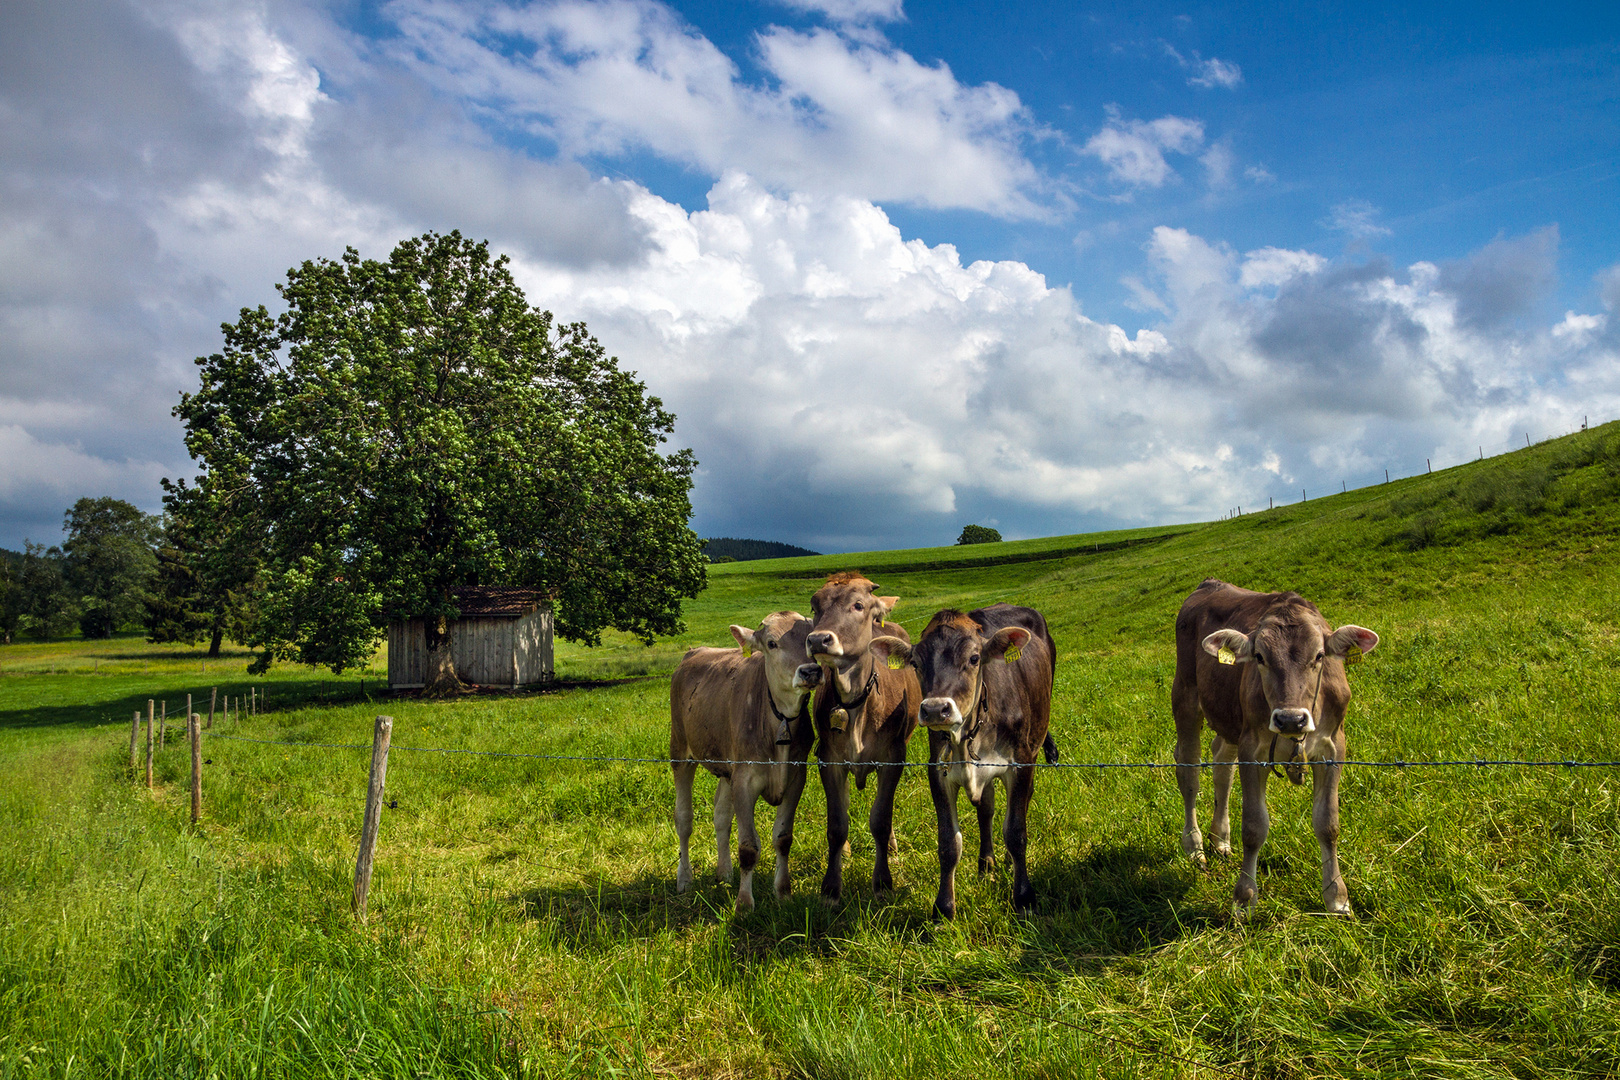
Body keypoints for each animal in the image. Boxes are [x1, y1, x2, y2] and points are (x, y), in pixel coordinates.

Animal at [670, 612, 822, 906]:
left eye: (810, 641)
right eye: (772, 643)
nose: (810, 671)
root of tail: (693, 652)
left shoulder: (796, 776)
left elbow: (783, 838)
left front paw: (783, 893)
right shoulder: (745, 779)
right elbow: (749, 846)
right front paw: (744, 903)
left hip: (728, 768)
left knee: (720, 815)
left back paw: (724, 872)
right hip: (680, 751)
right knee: (684, 819)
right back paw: (684, 879)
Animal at [803, 573, 920, 906]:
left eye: (858, 605)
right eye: (815, 606)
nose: (818, 639)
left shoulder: (893, 757)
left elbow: (880, 819)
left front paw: (882, 882)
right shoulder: (828, 758)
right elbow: (836, 823)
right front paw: (831, 887)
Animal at [868, 605, 1056, 919]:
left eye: (974, 658)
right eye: (916, 662)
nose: (935, 709)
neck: (966, 737)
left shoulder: (1020, 763)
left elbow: (1016, 832)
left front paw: (1024, 898)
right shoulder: (939, 772)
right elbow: (948, 843)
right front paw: (944, 907)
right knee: (986, 809)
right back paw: (987, 863)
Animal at [1172, 579, 1386, 919]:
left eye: (1320, 656)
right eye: (1260, 656)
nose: (1290, 719)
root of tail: (1210, 583)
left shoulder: (1333, 747)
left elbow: (1328, 824)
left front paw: (1337, 898)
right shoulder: (1252, 749)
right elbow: (1254, 827)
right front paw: (1244, 899)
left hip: (1228, 720)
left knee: (1222, 765)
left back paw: (1220, 840)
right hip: (1185, 697)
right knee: (1189, 772)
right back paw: (1195, 848)